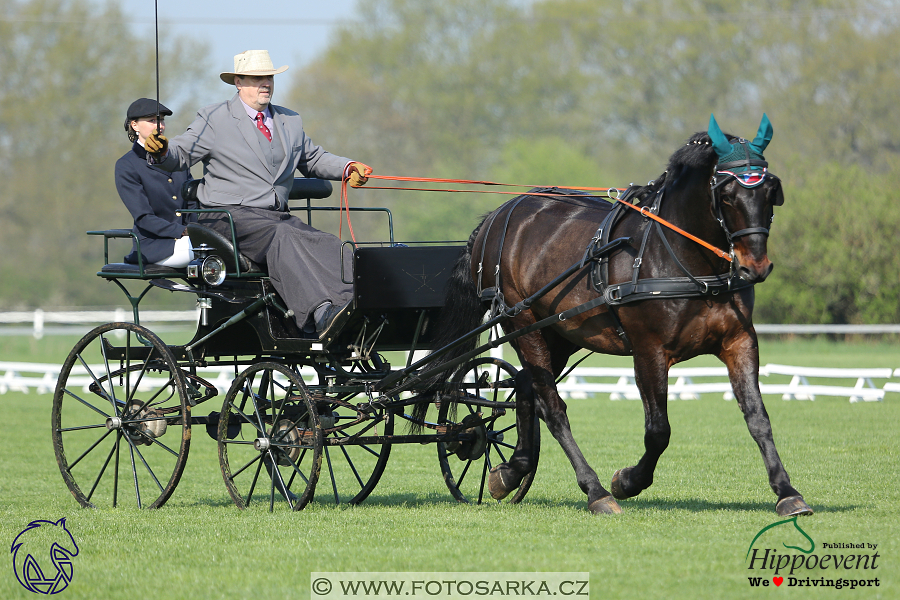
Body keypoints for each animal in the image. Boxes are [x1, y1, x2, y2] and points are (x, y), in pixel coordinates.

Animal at [426, 116, 812, 516]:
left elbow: (758, 417)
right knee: (552, 407)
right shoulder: (649, 351)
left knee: (525, 388)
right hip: (523, 323)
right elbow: (658, 431)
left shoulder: (739, 341)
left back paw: (512, 471)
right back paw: (595, 491)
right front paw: (627, 481)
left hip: (558, 333)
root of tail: (495, 217)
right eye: (727, 194)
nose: (757, 266)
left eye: (769, 191)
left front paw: (787, 491)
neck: (681, 258)